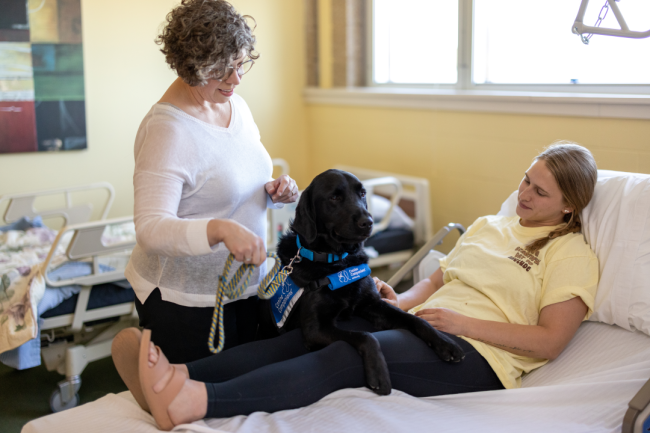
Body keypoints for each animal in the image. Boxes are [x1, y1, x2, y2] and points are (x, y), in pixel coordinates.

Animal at [260, 169, 464, 394]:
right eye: (334, 197)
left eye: (363, 193)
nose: (368, 222)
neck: (339, 262)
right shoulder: (316, 329)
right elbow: (365, 336)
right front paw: (379, 373)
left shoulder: (373, 304)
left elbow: (416, 319)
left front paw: (445, 343)